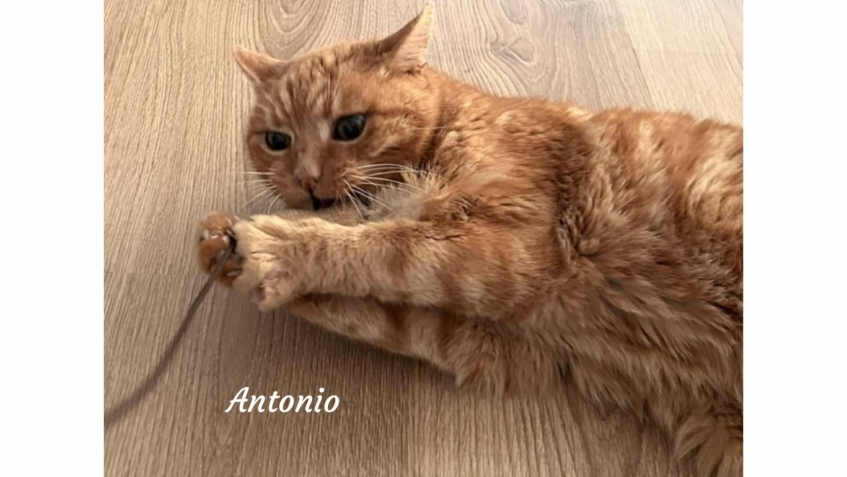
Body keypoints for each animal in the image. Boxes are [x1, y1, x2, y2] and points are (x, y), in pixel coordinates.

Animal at [196, 4, 742, 476]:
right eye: (276, 141)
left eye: (350, 126)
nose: (305, 180)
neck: (446, 126)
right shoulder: (500, 342)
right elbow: (368, 306)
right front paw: (226, 248)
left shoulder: (507, 252)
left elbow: (381, 248)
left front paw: (277, 246)